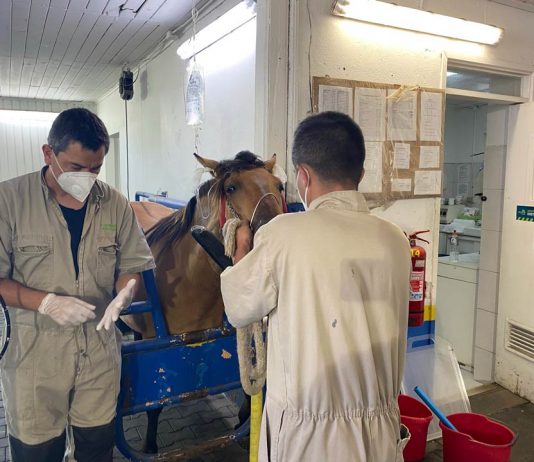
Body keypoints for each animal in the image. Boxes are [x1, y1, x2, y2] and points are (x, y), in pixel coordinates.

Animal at [124, 150, 288, 452]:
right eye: (231, 187)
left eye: (279, 186)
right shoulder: (156, 356)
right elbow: (154, 404)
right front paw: (150, 445)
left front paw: (244, 419)